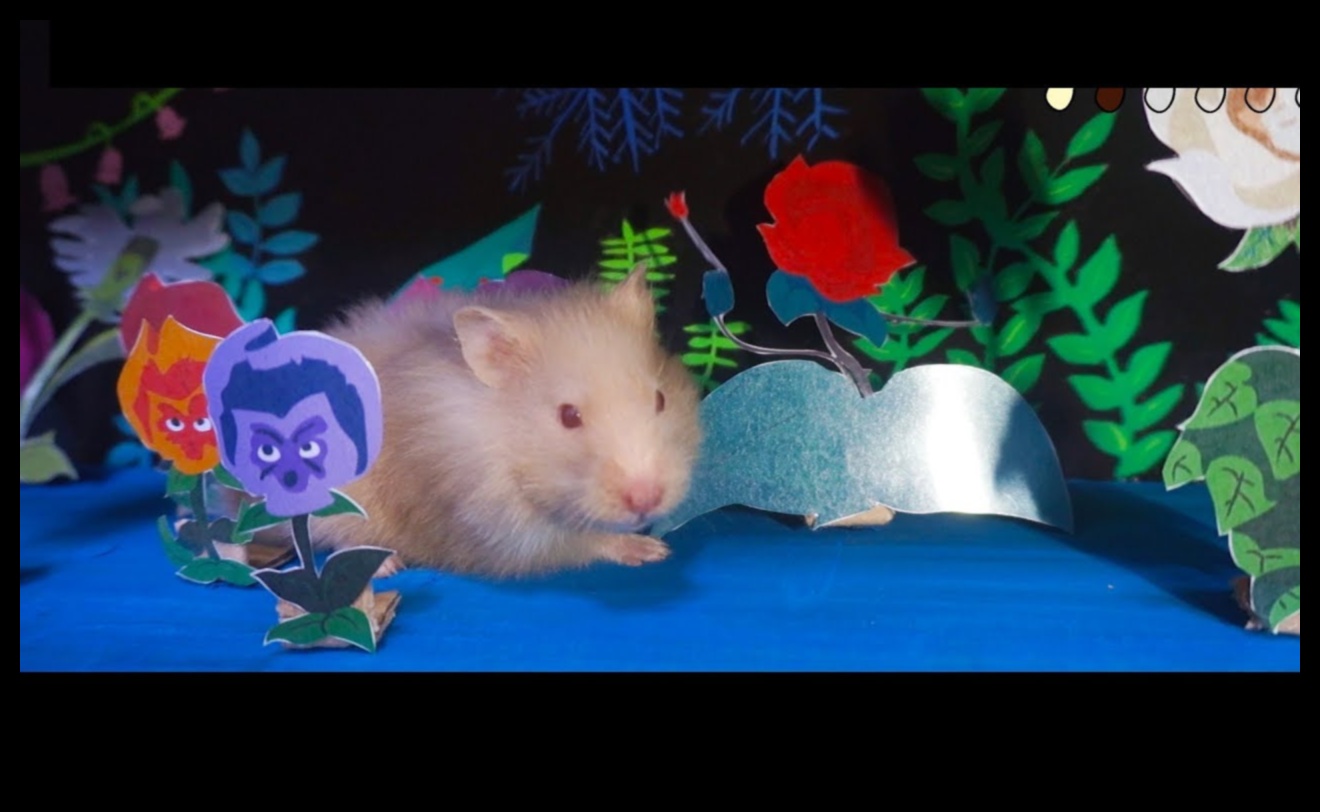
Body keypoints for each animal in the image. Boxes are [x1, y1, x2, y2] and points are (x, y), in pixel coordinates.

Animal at [227, 264, 702, 580]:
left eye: (660, 399)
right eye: (569, 416)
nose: (647, 498)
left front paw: (656, 541)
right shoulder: (498, 531)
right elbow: (577, 542)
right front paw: (650, 550)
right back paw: (388, 566)